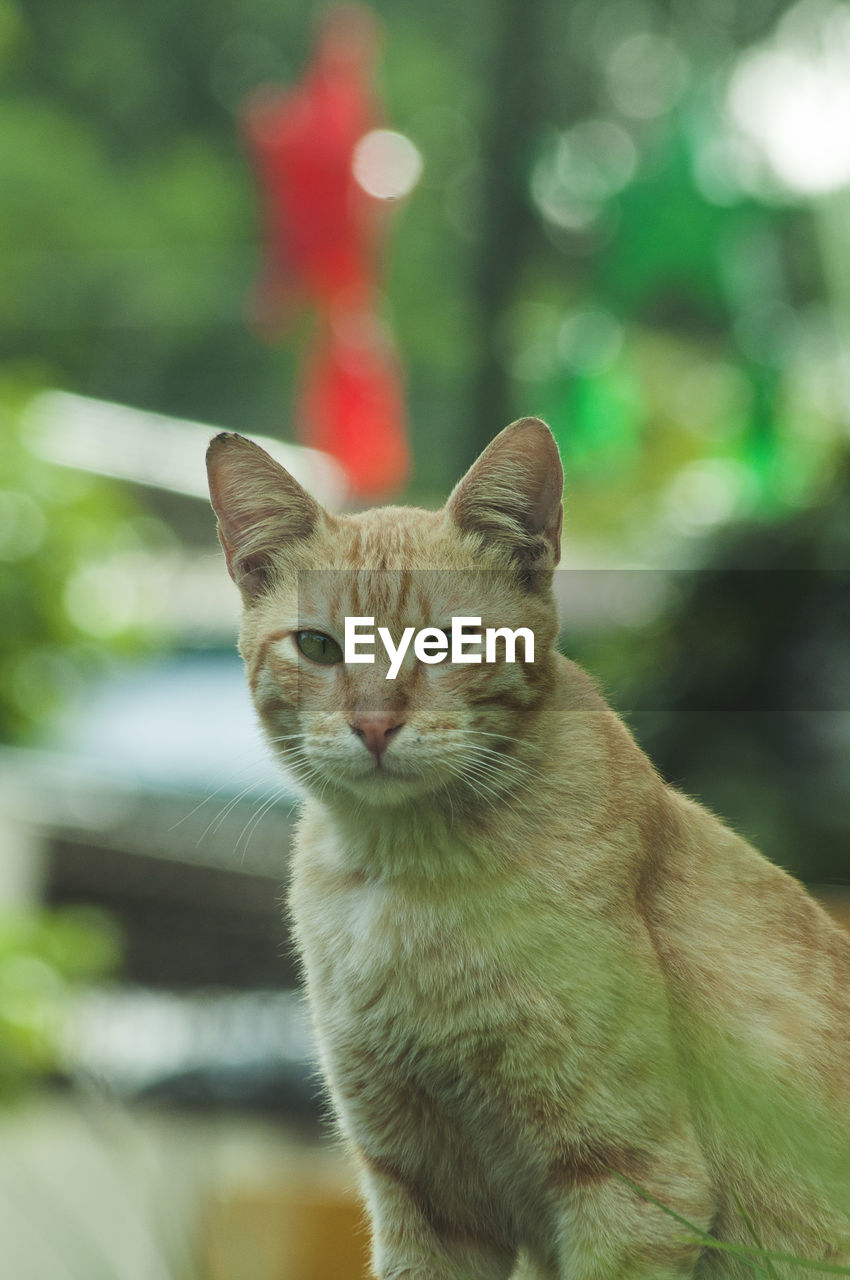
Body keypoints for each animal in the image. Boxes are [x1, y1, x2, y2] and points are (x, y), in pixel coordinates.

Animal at [206, 414, 850, 1274]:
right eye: (317, 646)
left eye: (447, 644)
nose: (373, 725)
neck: (405, 873)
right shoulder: (422, 1197)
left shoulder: (635, 1183)